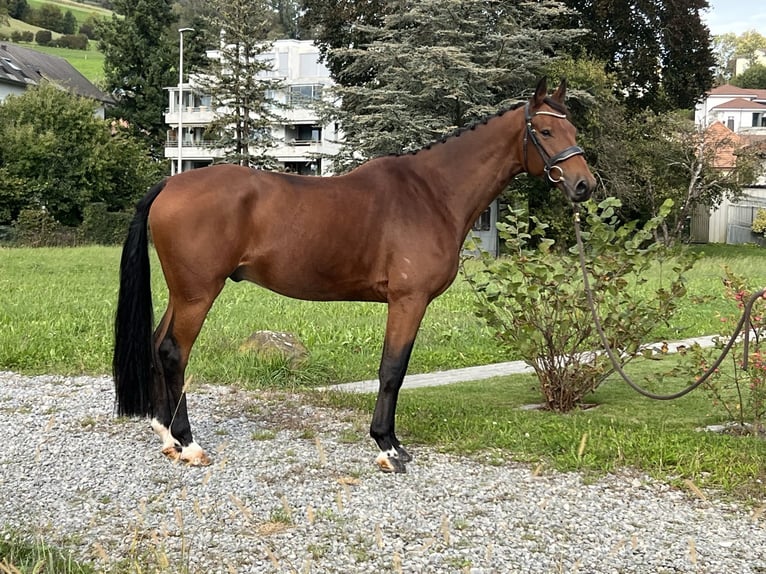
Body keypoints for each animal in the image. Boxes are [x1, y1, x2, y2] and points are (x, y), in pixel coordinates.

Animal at [114, 77, 596, 472]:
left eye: (574, 131)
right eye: (546, 131)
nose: (584, 186)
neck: (432, 194)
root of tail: (172, 183)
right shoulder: (408, 300)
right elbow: (392, 369)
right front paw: (388, 447)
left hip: (183, 292)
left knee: (158, 344)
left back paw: (168, 437)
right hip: (198, 293)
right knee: (174, 352)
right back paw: (189, 444)